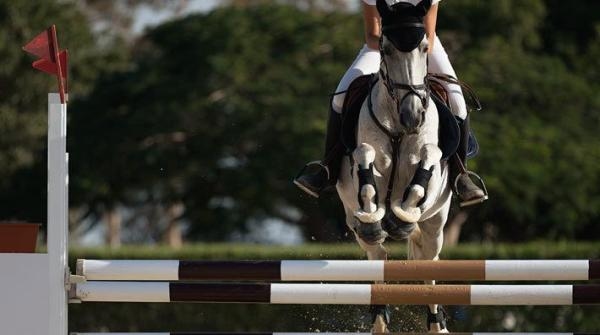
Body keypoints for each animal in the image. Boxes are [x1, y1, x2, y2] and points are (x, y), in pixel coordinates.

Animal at [338, 0, 450, 332]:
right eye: (386, 50)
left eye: (424, 48)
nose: (412, 115)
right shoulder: (364, 156)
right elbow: (364, 157)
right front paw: (376, 210)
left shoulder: (431, 161)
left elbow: (427, 160)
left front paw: (404, 215)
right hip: (355, 225)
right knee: (378, 254)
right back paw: (378, 318)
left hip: (436, 225)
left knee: (428, 263)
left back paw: (437, 324)